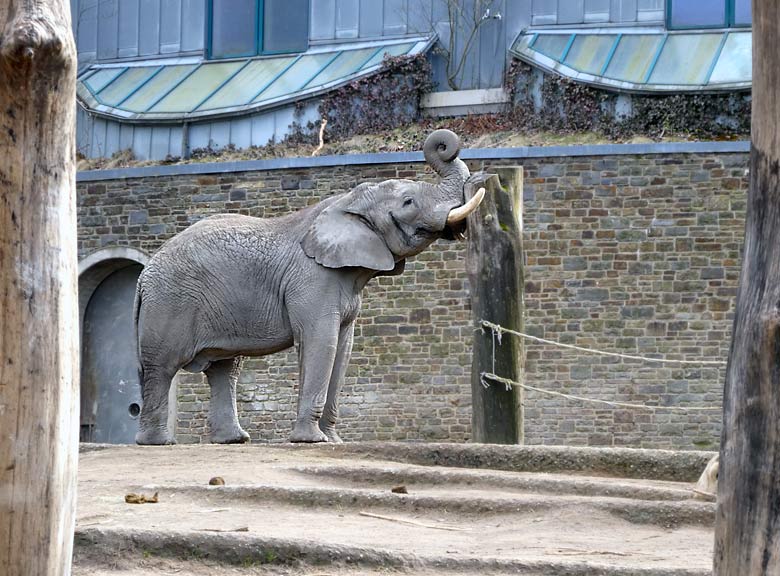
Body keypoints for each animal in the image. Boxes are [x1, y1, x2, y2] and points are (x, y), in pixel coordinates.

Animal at [137, 129, 484, 446]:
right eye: (409, 202)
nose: (445, 146)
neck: (346, 202)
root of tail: (144, 274)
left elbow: (343, 349)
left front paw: (333, 441)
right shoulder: (312, 279)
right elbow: (321, 342)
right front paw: (311, 440)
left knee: (225, 369)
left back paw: (234, 440)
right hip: (169, 302)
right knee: (161, 367)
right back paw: (158, 443)